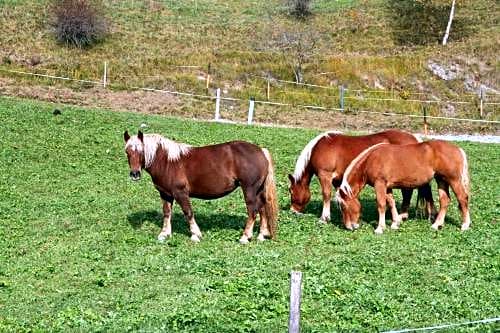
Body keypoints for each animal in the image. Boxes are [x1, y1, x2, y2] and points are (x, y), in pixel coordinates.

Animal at [121, 130, 278, 244]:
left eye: (141, 151)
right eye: (127, 152)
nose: (134, 174)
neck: (167, 161)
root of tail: (261, 151)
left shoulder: (180, 193)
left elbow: (188, 212)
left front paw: (195, 234)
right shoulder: (165, 194)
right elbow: (166, 213)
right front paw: (164, 234)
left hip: (249, 190)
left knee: (252, 210)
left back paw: (245, 237)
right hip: (258, 190)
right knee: (262, 208)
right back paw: (261, 235)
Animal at [290, 128, 434, 224]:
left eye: (290, 190)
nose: (293, 211)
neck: (319, 148)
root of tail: (416, 140)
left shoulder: (325, 175)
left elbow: (326, 195)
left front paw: (324, 218)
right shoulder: (338, 180)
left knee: (408, 194)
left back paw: (402, 216)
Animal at [334, 140, 470, 233]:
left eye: (343, 206)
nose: (349, 227)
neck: (371, 160)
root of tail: (458, 149)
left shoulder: (380, 184)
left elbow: (381, 205)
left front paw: (380, 228)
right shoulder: (387, 187)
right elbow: (391, 203)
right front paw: (395, 223)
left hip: (454, 180)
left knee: (463, 198)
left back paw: (465, 225)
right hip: (441, 180)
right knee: (444, 201)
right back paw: (436, 225)